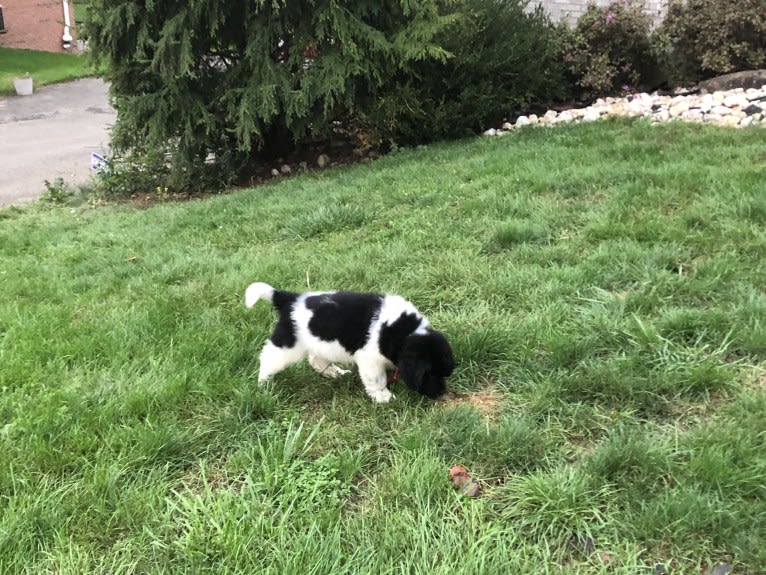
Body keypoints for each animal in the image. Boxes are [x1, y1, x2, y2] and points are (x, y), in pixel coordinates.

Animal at [246, 282, 452, 402]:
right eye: (429, 374)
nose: (442, 393)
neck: (405, 332)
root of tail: (290, 299)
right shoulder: (370, 359)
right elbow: (376, 379)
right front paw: (384, 396)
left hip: (321, 342)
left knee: (316, 360)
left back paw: (334, 373)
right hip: (287, 345)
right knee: (267, 359)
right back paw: (264, 385)